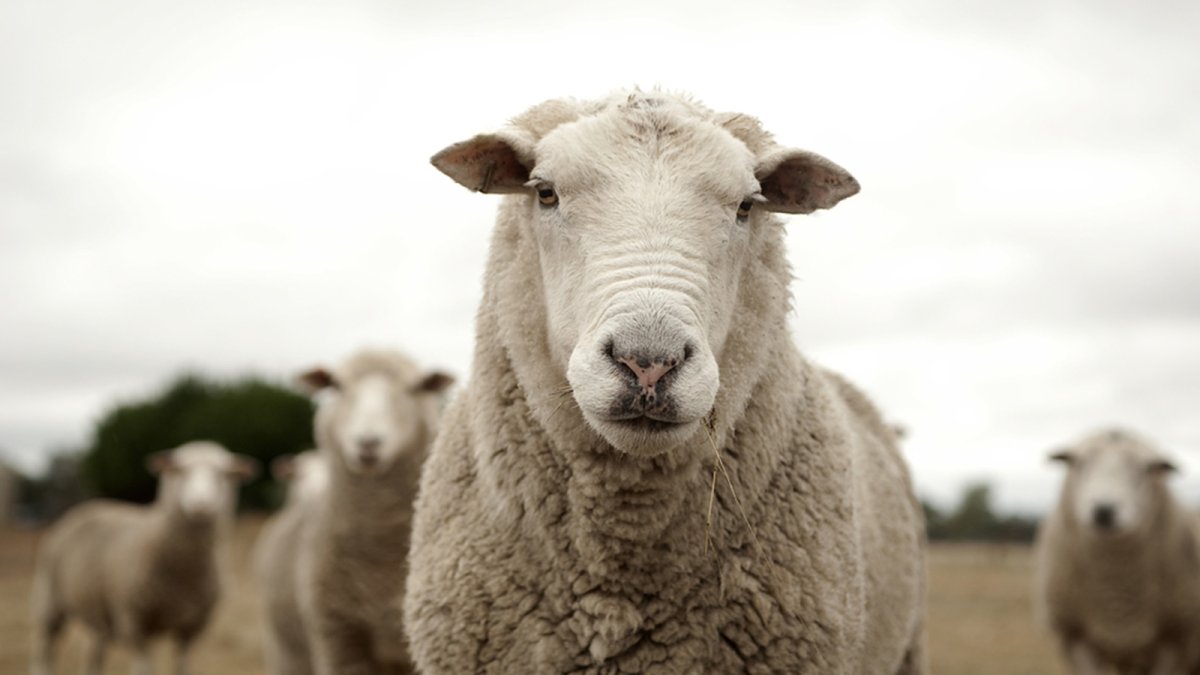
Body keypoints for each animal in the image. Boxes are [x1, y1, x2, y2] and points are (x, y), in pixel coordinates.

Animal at [30, 440, 257, 675]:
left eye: (225, 474)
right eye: (179, 470)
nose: (201, 504)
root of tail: (87, 506)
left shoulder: (192, 627)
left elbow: (182, 666)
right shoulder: (134, 622)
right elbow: (144, 668)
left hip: (97, 612)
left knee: (94, 655)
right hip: (48, 599)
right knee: (44, 648)